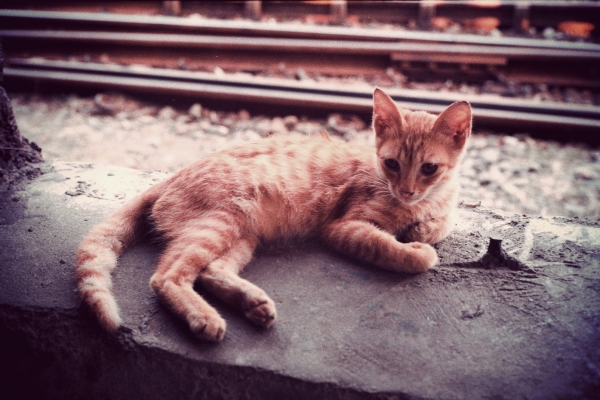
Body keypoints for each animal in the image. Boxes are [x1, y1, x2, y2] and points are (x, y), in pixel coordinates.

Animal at [75, 89, 472, 342]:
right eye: (391, 163)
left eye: (429, 168)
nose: (406, 191)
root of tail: (171, 176)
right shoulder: (344, 226)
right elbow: (398, 249)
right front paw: (416, 247)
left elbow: (442, 223)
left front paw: (423, 229)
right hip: (221, 222)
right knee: (167, 276)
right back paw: (204, 317)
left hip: (242, 236)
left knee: (210, 270)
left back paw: (252, 303)